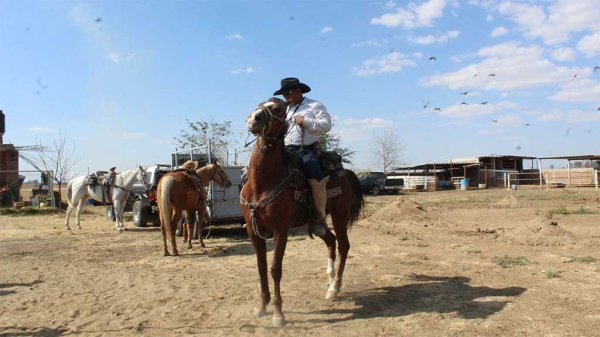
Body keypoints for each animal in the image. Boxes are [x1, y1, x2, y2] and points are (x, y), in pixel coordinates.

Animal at [240, 96, 364, 326]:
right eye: (261, 103)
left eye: (279, 110)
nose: (255, 118)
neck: (261, 184)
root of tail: (344, 172)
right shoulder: (253, 232)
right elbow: (261, 268)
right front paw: (261, 306)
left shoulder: (280, 231)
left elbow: (275, 269)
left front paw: (278, 314)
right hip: (317, 224)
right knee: (331, 241)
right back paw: (329, 280)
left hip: (340, 216)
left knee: (344, 245)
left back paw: (335, 287)